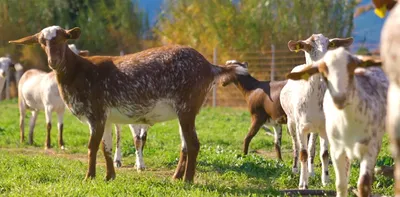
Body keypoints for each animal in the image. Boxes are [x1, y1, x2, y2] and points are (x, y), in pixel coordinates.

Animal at [9, 26, 245, 182]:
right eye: (42, 42)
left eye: (63, 39)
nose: (53, 61)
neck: (79, 72)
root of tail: (209, 66)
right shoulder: (105, 118)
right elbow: (105, 148)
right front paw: (109, 177)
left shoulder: (96, 114)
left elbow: (91, 147)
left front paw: (89, 177)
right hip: (185, 111)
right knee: (185, 144)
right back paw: (176, 177)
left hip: (187, 106)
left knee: (194, 144)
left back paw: (186, 181)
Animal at [288, 47, 388, 197]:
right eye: (323, 72)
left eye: (352, 68)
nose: (340, 98)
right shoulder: (337, 150)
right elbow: (340, 184)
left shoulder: (371, 147)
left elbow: (363, 184)